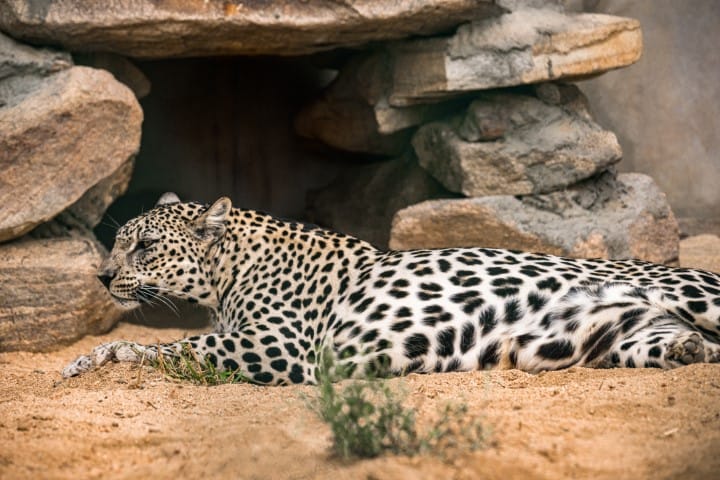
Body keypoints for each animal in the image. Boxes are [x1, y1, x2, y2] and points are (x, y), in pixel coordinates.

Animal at [60, 193, 720, 384]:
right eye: (121, 242)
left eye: (145, 246)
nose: (103, 276)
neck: (229, 275)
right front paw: (86, 361)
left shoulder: (280, 347)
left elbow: (172, 348)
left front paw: (100, 358)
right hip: (617, 335)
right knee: (687, 346)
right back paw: (689, 350)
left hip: (694, 291)